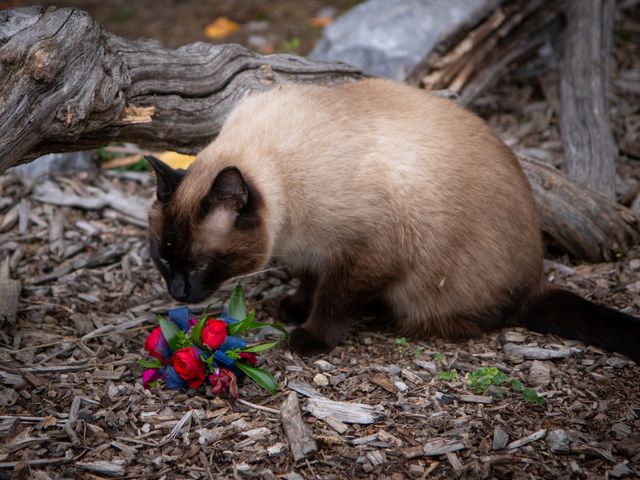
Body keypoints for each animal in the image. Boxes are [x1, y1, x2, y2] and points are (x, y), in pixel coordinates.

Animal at [146, 79, 640, 364]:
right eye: (164, 262)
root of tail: (536, 279)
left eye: (202, 265)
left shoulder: (368, 253)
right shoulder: (312, 248)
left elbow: (333, 300)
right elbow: (310, 282)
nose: (179, 293)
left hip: (427, 288)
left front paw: (309, 337)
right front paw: (293, 307)